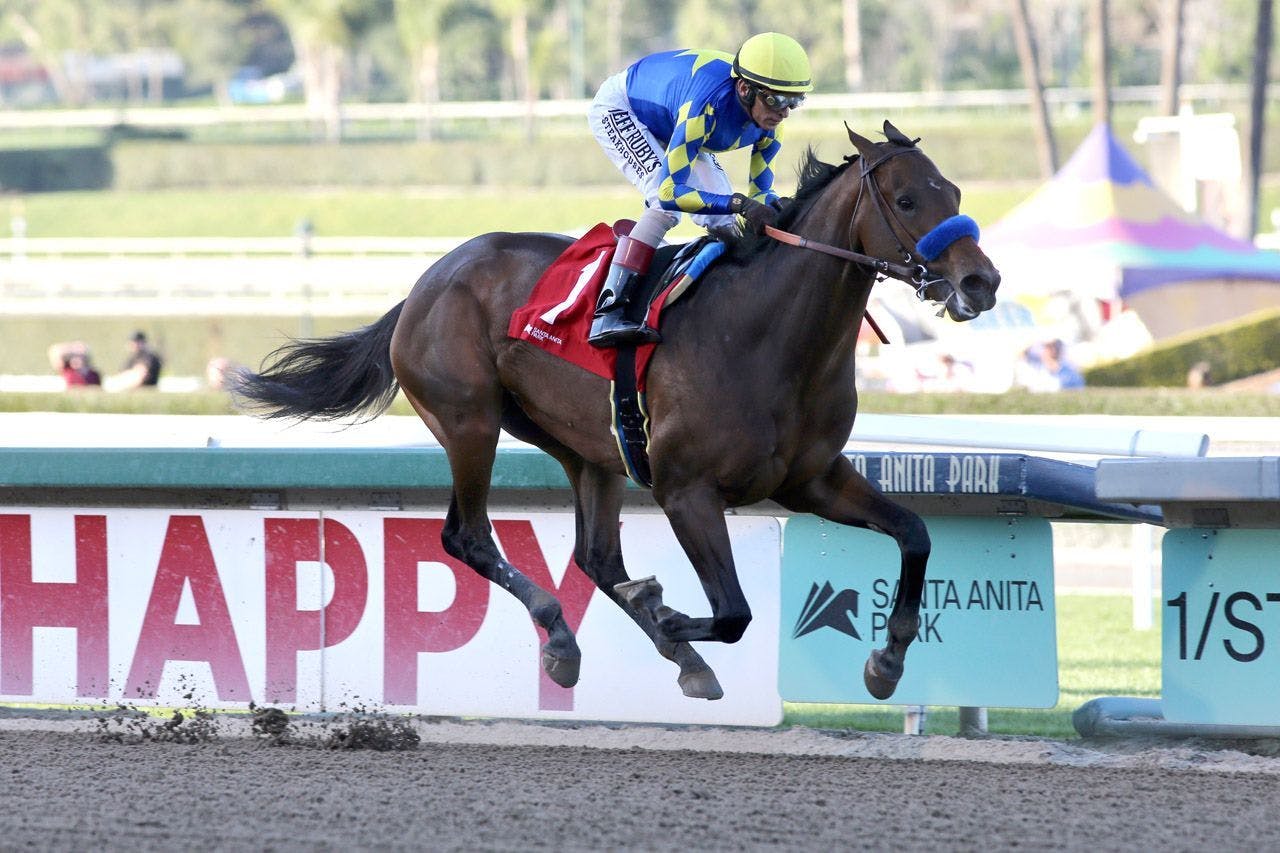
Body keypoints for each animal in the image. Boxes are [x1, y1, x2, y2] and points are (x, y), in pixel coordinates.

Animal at [235, 121, 1003, 701]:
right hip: (469, 421)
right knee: (468, 536)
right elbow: (733, 613)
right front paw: (665, 611)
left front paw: (887, 661)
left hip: (587, 448)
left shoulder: (811, 479)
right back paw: (565, 637)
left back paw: (650, 645)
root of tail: (427, 281)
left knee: (597, 555)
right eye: (906, 198)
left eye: (954, 190)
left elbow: (914, 534)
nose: (981, 281)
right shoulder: (686, 489)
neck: (769, 336)